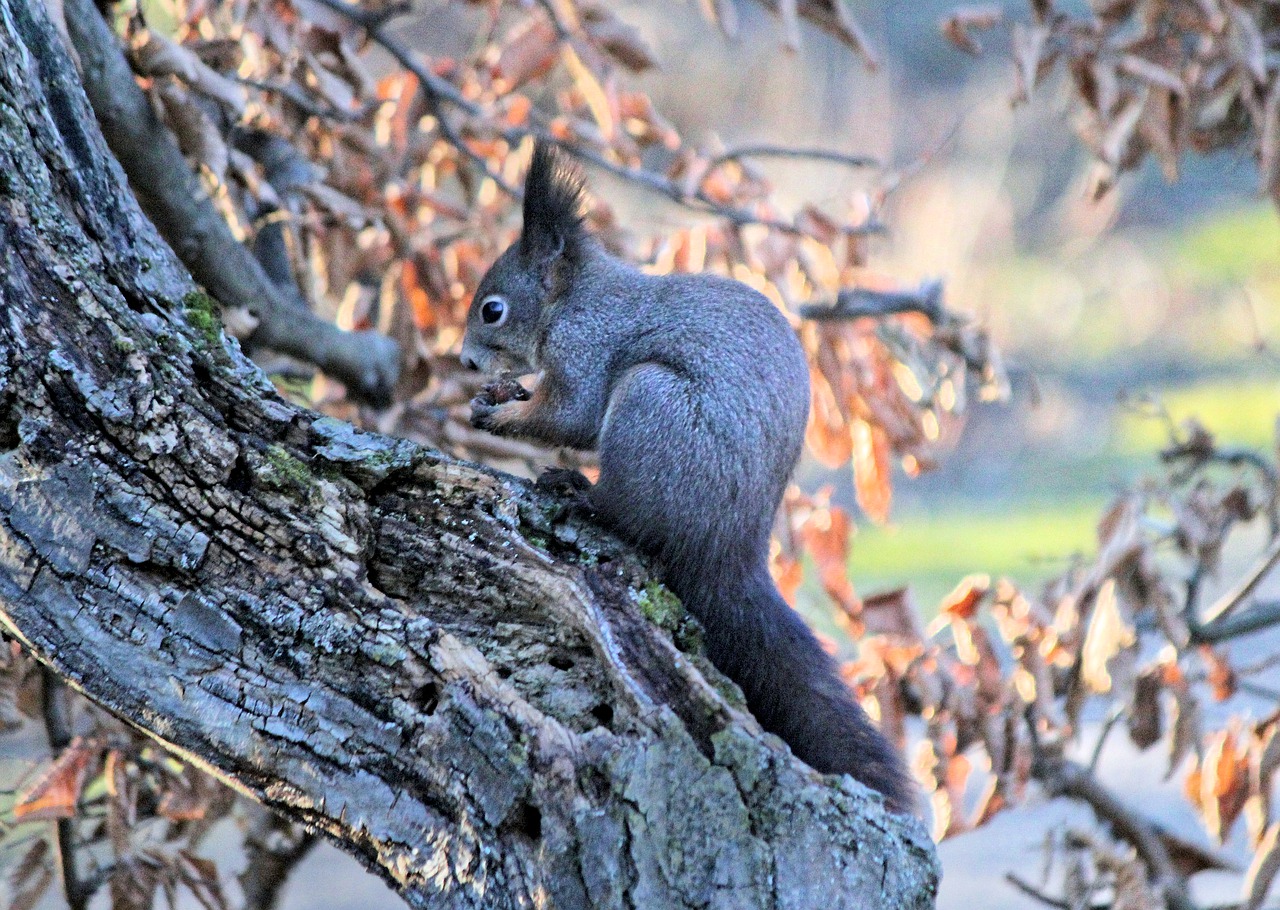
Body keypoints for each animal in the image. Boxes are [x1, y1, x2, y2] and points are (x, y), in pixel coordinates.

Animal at [458, 142, 911, 814]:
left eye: (494, 310)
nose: (464, 362)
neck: (573, 300)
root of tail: (727, 549)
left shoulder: (586, 349)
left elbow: (573, 416)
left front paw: (500, 414)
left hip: (652, 406)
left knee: (625, 511)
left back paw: (583, 495)